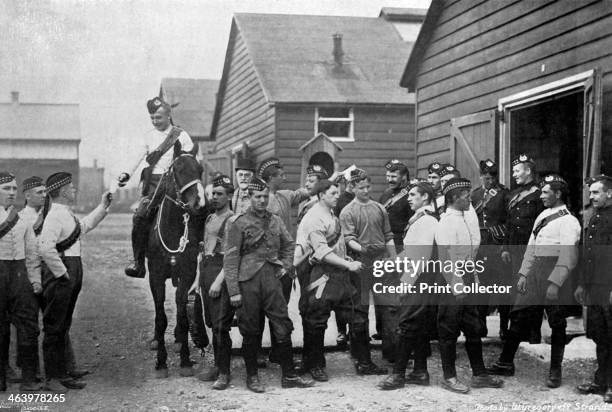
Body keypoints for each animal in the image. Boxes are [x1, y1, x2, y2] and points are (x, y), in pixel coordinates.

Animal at [147, 154, 209, 376]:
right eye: (179, 170)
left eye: (200, 170)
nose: (200, 204)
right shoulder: (155, 277)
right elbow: (160, 317)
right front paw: (161, 362)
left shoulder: (188, 274)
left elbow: (182, 314)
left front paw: (184, 360)